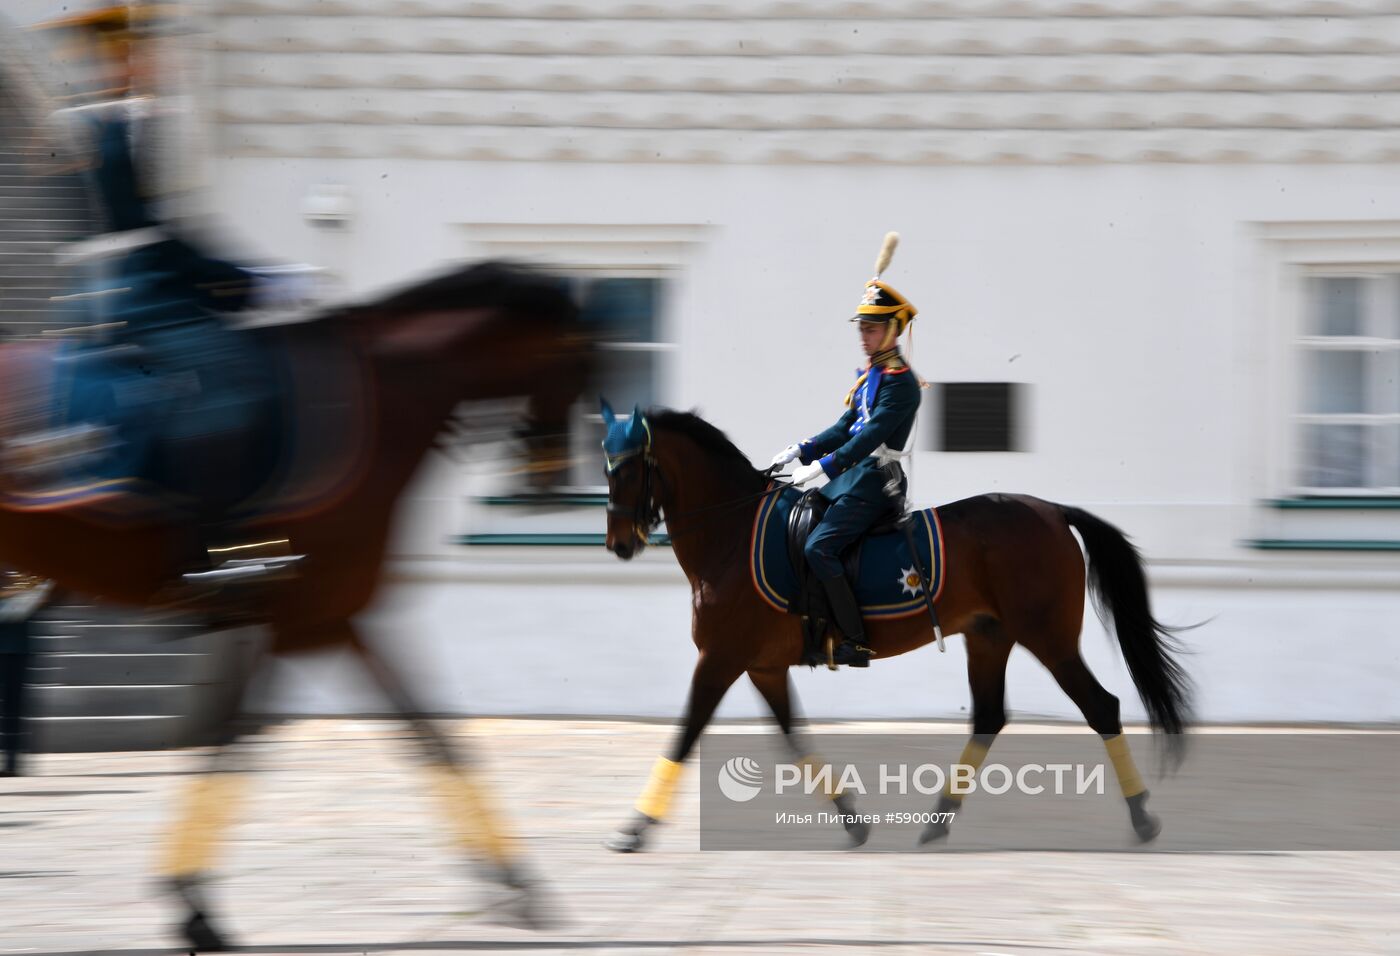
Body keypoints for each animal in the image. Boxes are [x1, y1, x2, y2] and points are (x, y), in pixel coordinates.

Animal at [0, 261, 590, 951]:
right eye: (581, 358)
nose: (550, 478)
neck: (387, 396)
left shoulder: (325, 620)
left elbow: (428, 738)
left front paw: (517, 885)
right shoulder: (302, 621)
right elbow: (240, 750)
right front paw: (195, 907)